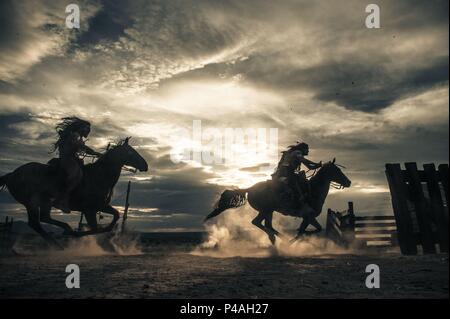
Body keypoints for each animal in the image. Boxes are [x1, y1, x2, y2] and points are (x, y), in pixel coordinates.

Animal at [0, 139, 148, 249]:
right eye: (130, 152)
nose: (145, 165)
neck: (98, 176)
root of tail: (11, 175)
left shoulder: (101, 206)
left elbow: (115, 217)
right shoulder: (89, 210)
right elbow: (95, 228)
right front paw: (76, 234)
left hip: (42, 203)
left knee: (40, 220)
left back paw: (60, 239)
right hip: (33, 203)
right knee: (36, 222)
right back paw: (63, 236)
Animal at [205, 160, 352, 245]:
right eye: (337, 170)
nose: (349, 182)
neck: (313, 190)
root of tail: (250, 188)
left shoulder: (307, 218)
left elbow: (309, 230)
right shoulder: (308, 216)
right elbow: (307, 231)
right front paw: (293, 240)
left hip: (268, 211)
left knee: (264, 224)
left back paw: (274, 238)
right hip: (266, 210)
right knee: (259, 223)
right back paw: (278, 238)